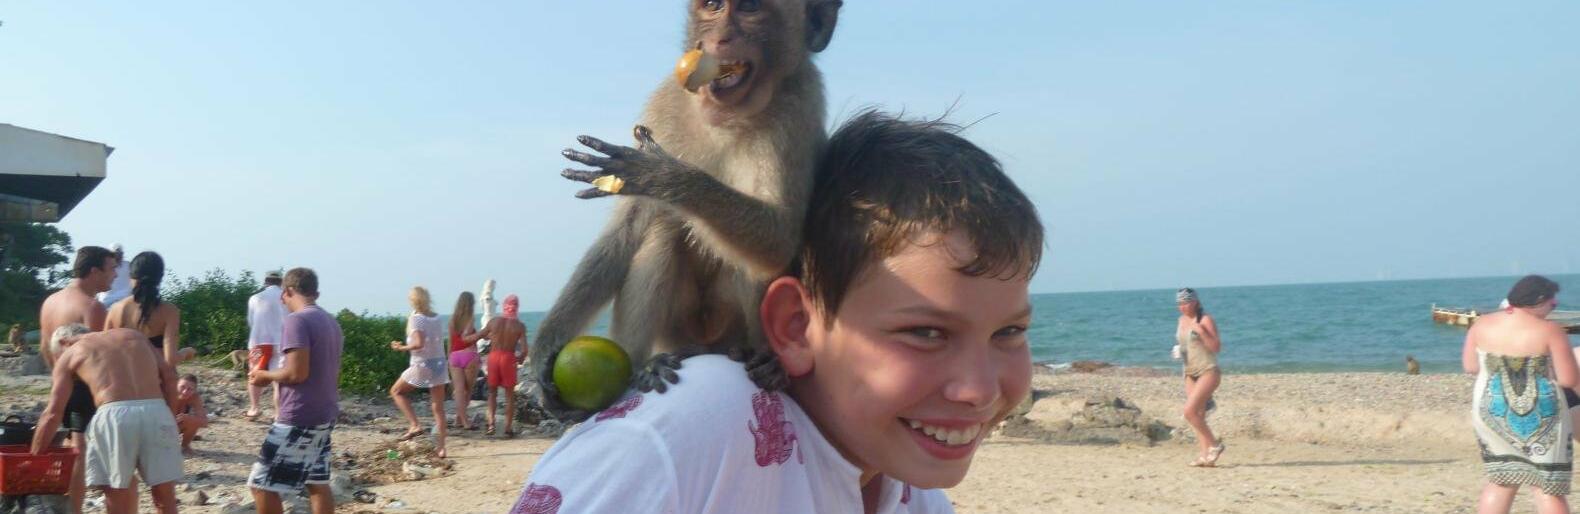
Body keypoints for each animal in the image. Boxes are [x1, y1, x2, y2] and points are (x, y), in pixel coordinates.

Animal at [531, 0, 842, 420]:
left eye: (750, 8)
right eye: (713, 7)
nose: (718, 38)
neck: (724, 117)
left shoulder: (799, 105)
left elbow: (779, 239)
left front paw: (661, 175)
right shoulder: (665, 102)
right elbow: (627, 229)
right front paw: (545, 350)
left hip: (729, 331)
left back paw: (767, 363)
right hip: (677, 333)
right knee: (663, 231)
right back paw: (644, 367)